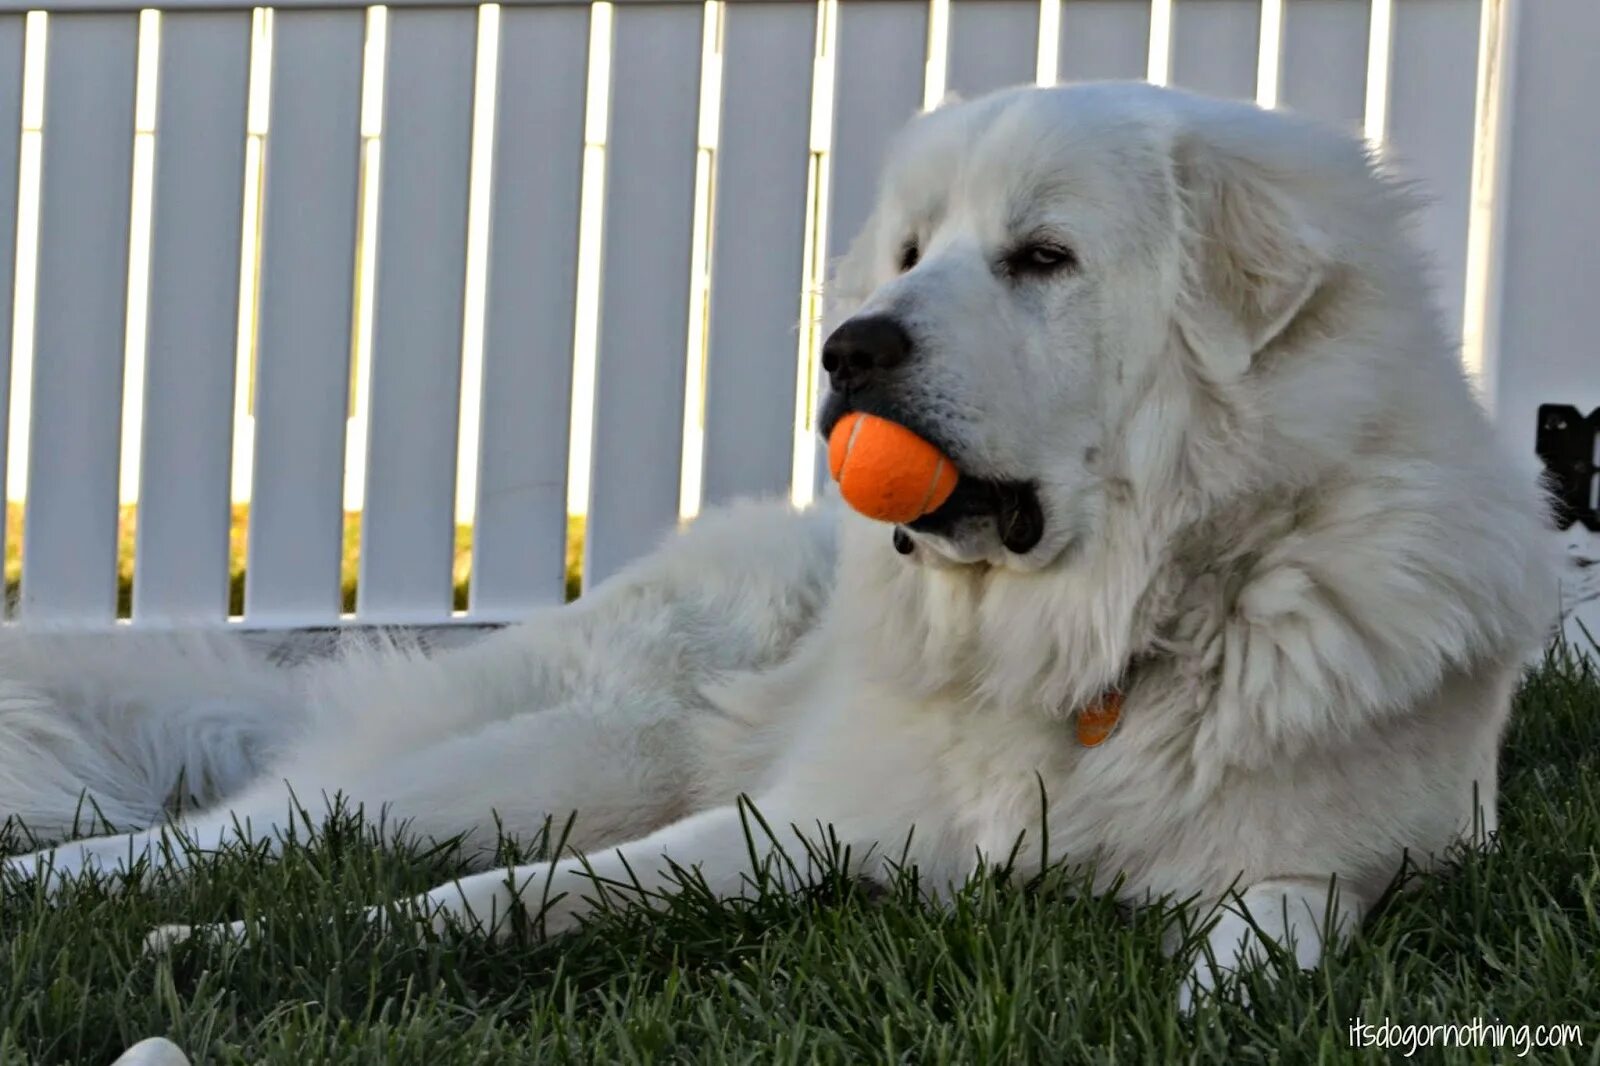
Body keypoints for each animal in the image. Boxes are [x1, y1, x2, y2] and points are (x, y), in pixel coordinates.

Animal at [0, 85, 1555, 1005]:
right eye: (915, 251)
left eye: (1042, 258)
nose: (849, 349)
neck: (1088, 644)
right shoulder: (796, 818)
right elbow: (500, 895)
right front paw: (239, 953)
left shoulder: (1331, 866)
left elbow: (1262, 949)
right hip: (556, 755)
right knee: (254, 828)